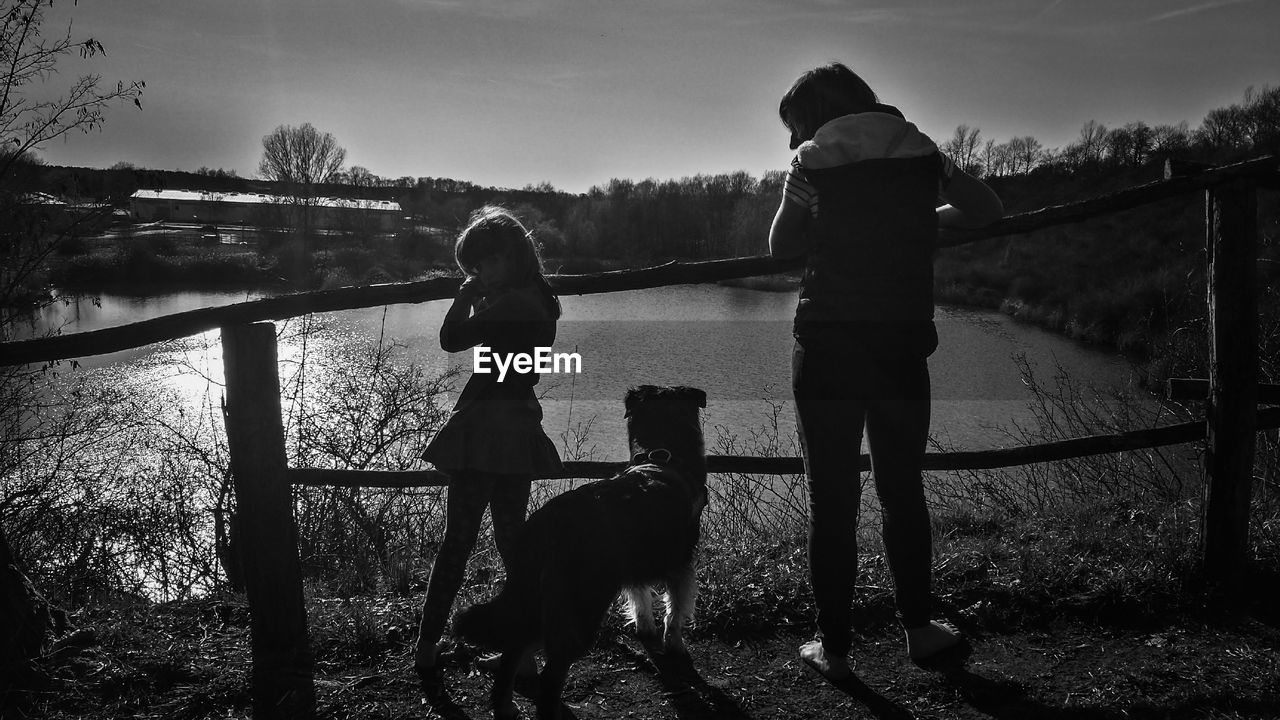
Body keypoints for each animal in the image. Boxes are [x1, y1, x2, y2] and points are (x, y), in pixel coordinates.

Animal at [453, 386, 711, 717]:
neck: (663, 456)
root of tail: (548, 525)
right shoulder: (681, 562)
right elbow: (676, 608)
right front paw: (675, 643)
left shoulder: (635, 562)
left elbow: (640, 597)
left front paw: (645, 629)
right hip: (579, 606)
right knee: (551, 674)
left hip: (535, 597)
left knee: (514, 649)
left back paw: (506, 707)